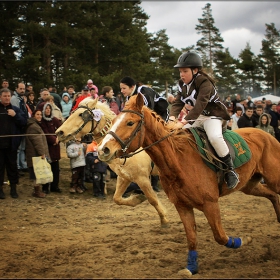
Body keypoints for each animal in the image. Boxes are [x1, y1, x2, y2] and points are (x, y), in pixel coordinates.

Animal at [55, 98, 168, 228]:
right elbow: (117, 198)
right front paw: (137, 198)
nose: (59, 132)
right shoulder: (124, 177)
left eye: (81, 114)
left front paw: (164, 219)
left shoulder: (142, 177)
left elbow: (152, 199)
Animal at [98, 93, 280, 276]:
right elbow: (192, 238)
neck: (178, 159)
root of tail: (267, 135)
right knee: (272, 195)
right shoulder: (182, 205)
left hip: (273, 179)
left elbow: (220, 236)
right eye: (114, 121)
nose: (102, 150)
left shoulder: (210, 204)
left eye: (130, 122)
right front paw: (191, 267)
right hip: (250, 185)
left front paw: (244, 240)